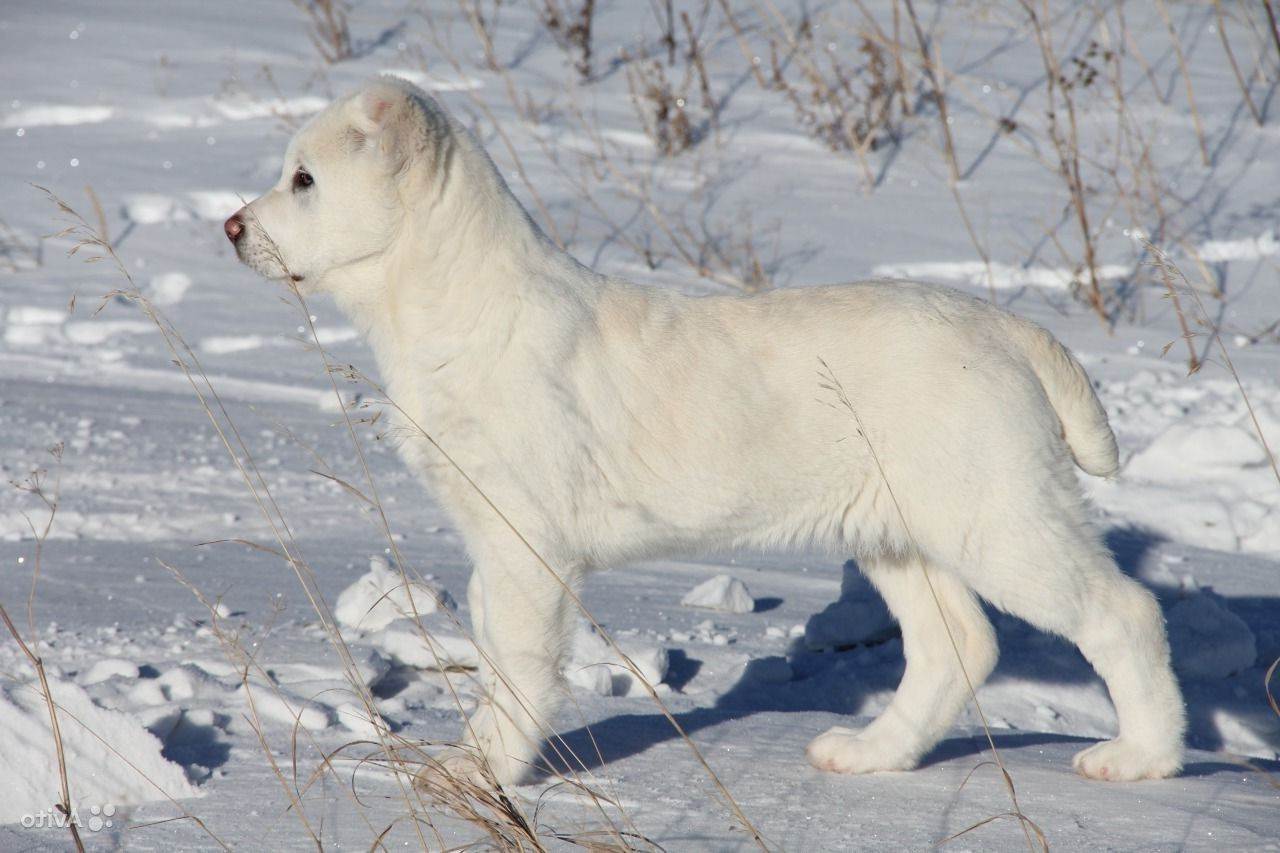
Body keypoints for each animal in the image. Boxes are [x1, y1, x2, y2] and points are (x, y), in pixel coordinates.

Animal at [225, 78, 1182, 783]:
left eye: (305, 180)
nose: (232, 228)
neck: (454, 306)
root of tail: (1004, 327)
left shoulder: (525, 540)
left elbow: (519, 662)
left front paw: (483, 770)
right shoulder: (487, 537)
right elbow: (494, 649)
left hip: (997, 516)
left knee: (1122, 611)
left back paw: (1143, 756)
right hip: (900, 532)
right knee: (958, 647)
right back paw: (871, 752)